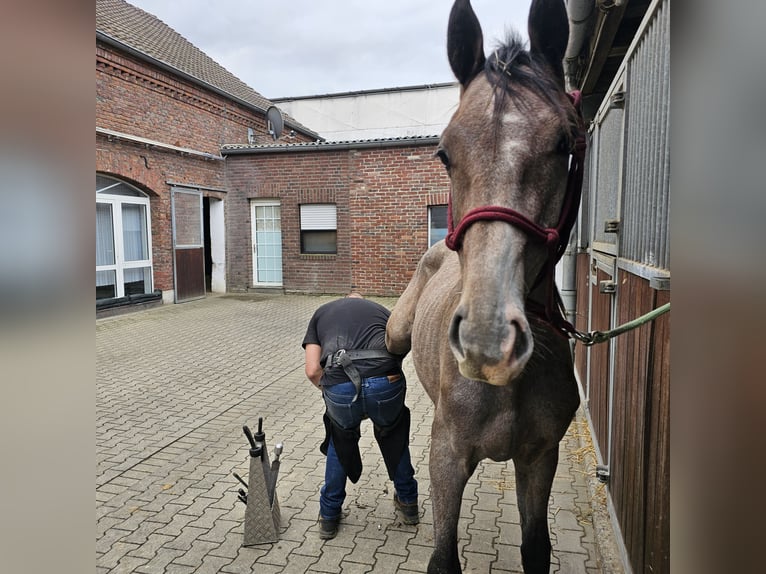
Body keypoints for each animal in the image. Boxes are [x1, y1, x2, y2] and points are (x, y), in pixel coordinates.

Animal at [385, 1, 584, 572]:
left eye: (563, 144)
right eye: (444, 153)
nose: (486, 341)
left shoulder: (540, 458)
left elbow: (536, 547)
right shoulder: (447, 458)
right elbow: (443, 556)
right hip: (396, 333)